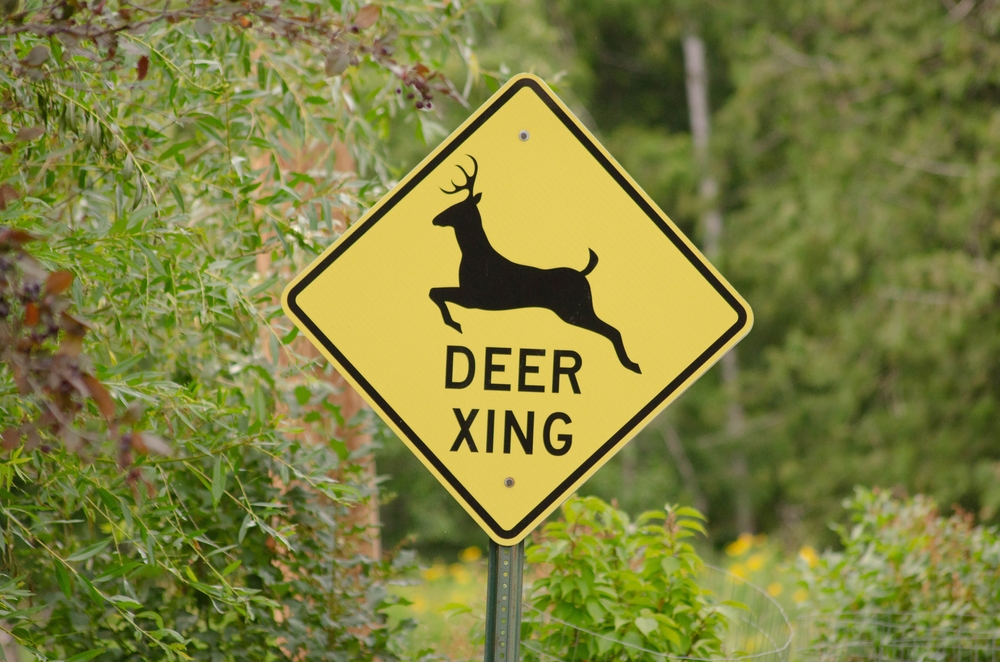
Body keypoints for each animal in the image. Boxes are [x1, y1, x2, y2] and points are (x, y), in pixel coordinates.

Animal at [429, 156, 641, 374]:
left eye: (456, 207)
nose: (435, 219)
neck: (474, 254)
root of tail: (583, 274)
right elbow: (434, 291)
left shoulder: (474, 298)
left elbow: (435, 292)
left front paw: (454, 324)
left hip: (576, 310)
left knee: (613, 330)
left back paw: (632, 365)